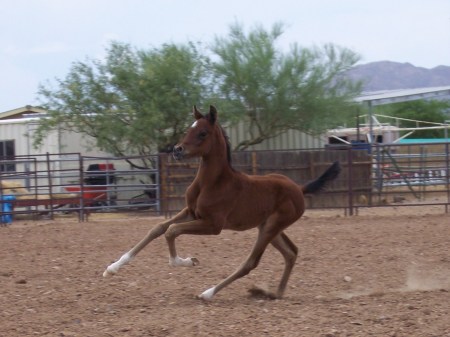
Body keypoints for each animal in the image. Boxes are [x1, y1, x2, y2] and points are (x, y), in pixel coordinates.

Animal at [103, 105, 342, 300]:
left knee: (251, 263)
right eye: (188, 129)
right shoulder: (191, 211)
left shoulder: (213, 225)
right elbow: (158, 228)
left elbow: (172, 231)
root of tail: (299, 189)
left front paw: (185, 261)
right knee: (291, 252)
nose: (177, 150)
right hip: (268, 227)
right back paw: (276, 293)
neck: (213, 183)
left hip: (271, 227)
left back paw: (208, 293)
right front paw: (112, 268)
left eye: (202, 133)